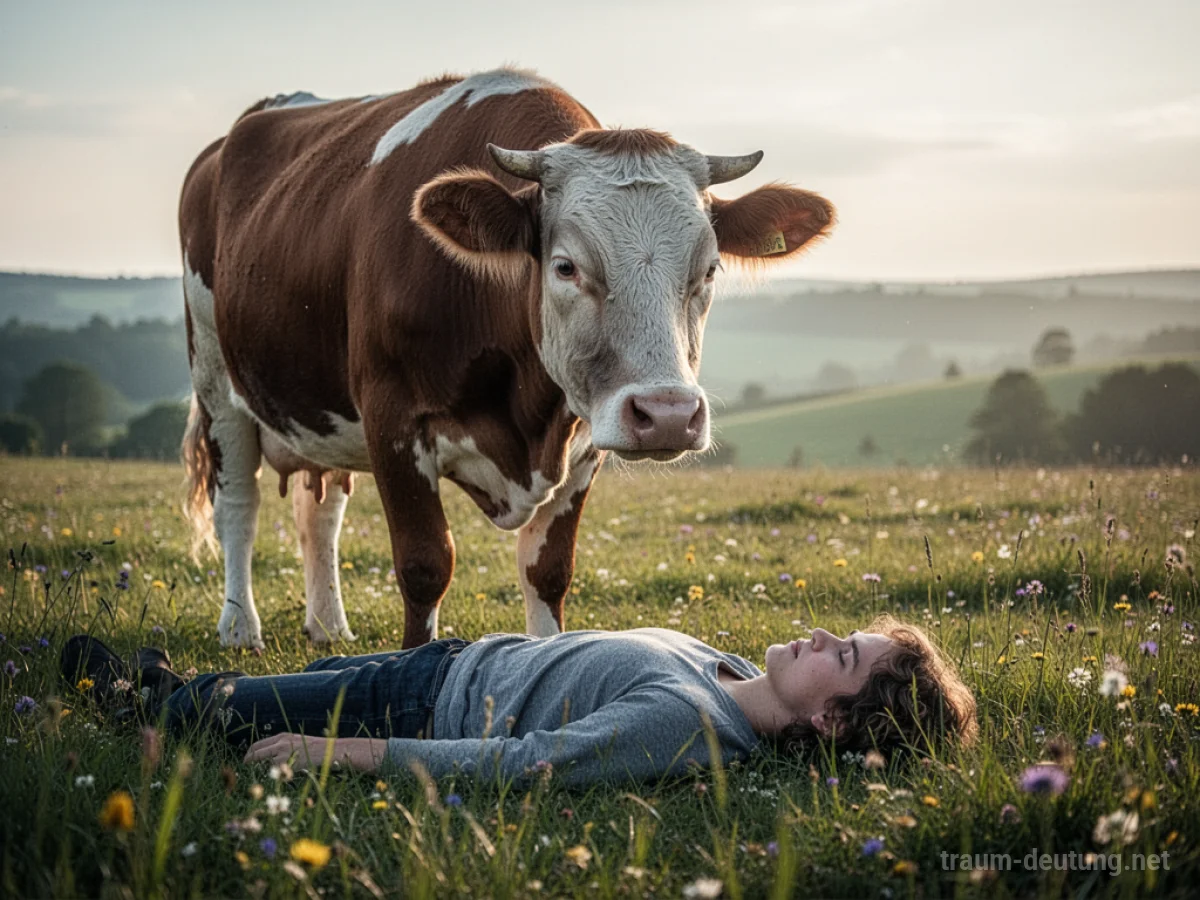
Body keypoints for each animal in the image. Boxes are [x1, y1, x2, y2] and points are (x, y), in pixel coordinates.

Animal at [179, 68, 835, 651]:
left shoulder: (584, 438)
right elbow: (425, 565)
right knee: (238, 502)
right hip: (215, 379)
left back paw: (328, 626)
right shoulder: (392, 419)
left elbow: (548, 571)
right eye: (565, 266)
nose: (668, 415)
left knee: (321, 511)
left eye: (710, 269)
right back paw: (240, 628)